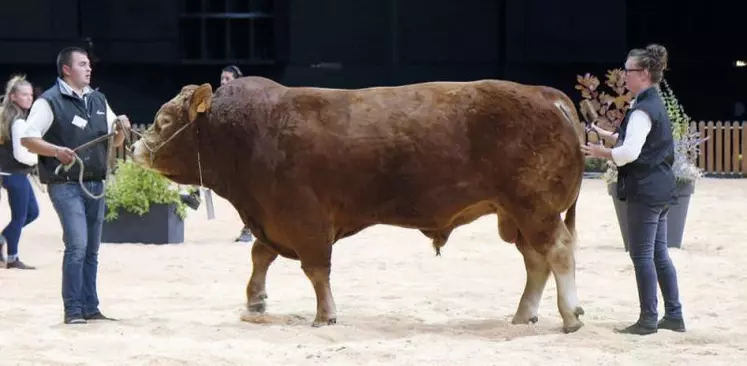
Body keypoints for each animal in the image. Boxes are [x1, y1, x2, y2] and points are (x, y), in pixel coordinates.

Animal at [131, 77, 588, 334]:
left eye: (164, 121)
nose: (135, 148)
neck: (246, 130)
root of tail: (545, 94)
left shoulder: (304, 218)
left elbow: (316, 270)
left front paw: (324, 315)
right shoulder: (274, 220)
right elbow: (261, 254)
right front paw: (255, 301)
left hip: (536, 208)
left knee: (558, 252)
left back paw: (570, 315)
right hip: (516, 215)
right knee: (535, 261)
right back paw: (524, 314)